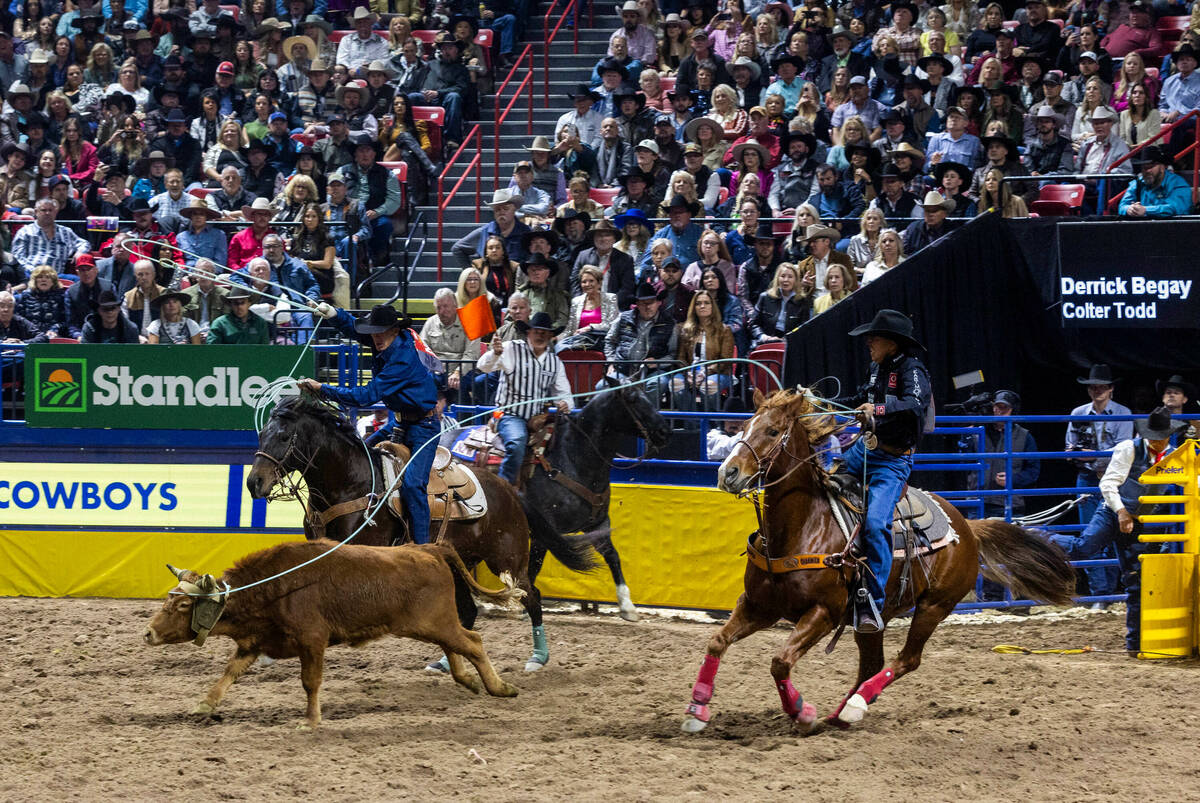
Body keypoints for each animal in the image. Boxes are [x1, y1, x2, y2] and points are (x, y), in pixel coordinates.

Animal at [523, 376, 676, 619]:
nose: (665, 432)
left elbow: (613, 555)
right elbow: (534, 566)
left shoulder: (597, 523)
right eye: (632, 400)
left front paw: (627, 606)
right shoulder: (543, 529)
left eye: (648, 396)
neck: (571, 459)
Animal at [681, 388, 1075, 734]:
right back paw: (841, 713)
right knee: (873, 662)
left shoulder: (822, 613)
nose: (728, 473)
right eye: (744, 426)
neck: (801, 527)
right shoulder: (758, 606)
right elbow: (717, 642)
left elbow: (780, 663)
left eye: (773, 431)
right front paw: (697, 711)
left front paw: (802, 713)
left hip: (933, 606)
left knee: (907, 660)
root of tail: (966, 525)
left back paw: (854, 707)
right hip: (872, 618)